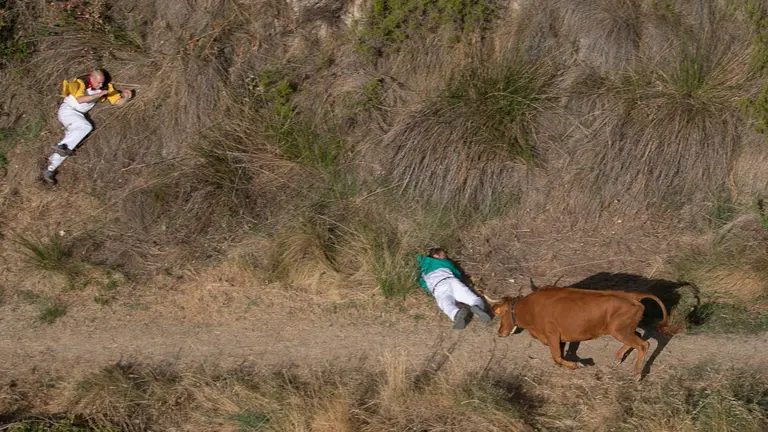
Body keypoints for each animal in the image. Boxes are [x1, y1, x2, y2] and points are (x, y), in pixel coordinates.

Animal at [483, 285, 674, 379]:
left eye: (500, 314)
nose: (500, 332)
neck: (530, 308)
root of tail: (632, 296)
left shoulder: (552, 334)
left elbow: (557, 357)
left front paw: (578, 364)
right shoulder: (560, 338)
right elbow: (560, 356)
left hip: (618, 330)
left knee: (643, 344)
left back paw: (636, 374)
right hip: (625, 330)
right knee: (639, 338)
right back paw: (618, 359)